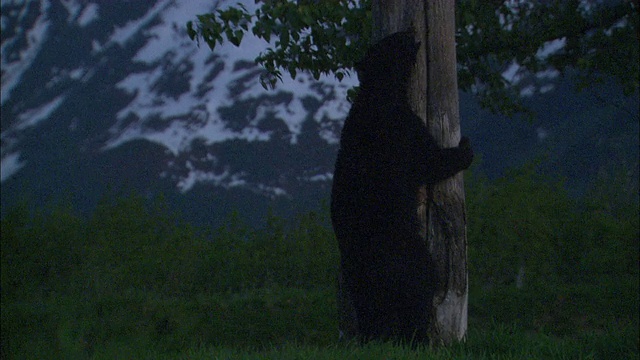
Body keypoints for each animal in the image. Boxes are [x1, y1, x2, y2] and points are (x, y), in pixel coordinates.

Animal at [332, 31, 472, 344]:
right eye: (394, 40)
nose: (410, 33)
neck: (380, 93)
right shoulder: (403, 128)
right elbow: (430, 161)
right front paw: (464, 148)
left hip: (356, 275)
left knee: (370, 307)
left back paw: (373, 335)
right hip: (406, 252)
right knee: (420, 287)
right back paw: (416, 336)